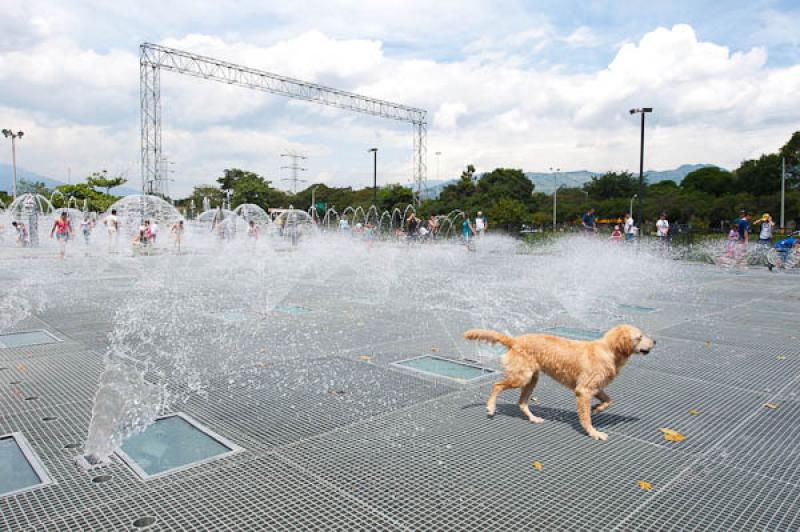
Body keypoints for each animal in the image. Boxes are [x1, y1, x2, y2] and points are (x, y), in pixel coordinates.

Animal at [466, 324, 652, 440]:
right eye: (639, 337)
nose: (655, 341)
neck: (608, 351)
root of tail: (516, 341)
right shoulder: (583, 390)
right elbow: (586, 418)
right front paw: (594, 432)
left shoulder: (593, 387)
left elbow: (609, 400)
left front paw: (597, 408)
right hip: (521, 378)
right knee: (496, 386)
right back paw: (491, 407)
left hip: (531, 379)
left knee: (522, 403)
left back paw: (533, 418)